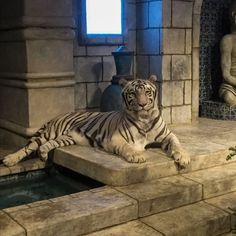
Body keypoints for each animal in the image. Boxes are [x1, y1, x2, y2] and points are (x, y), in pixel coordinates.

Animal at [2, 76, 190, 168]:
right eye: (133, 94)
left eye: (147, 92)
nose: (143, 104)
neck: (144, 119)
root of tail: (56, 116)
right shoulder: (116, 138)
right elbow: (127, 147)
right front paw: (137, 156)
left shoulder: (168, 135)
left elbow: (177, 143)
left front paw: (183, 157)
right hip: (48, 134)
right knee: (28, 146)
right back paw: (9, 159)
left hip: (65, 138)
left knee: (45, 146)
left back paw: (43, 155)